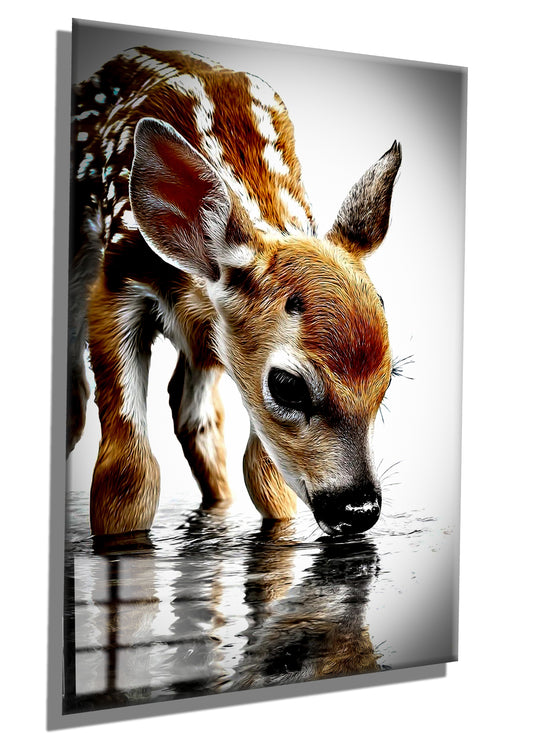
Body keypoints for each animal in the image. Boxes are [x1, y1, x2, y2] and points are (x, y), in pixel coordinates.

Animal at [69, 46, 402, 537]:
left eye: (389, 377)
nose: (358, 508)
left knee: (193, 415)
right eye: (287, 386)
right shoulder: (117, 281)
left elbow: (266, 477)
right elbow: (126, 477)